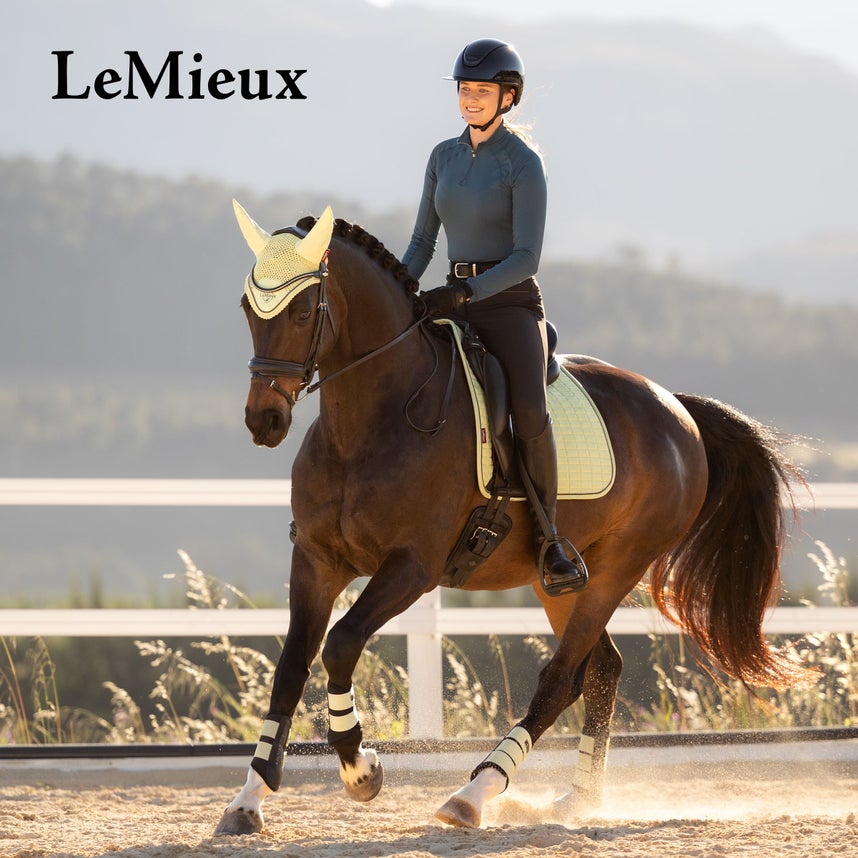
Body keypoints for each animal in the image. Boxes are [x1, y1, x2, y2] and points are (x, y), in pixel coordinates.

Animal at [214, 202, 811, 835]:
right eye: (248, 308)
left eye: (304, 309)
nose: (264, 420)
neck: (369, 422)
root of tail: (679, 409)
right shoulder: (316, 560)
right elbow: (290, 668)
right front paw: (248, 799)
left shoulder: (412, 567)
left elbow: (341, 645)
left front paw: (361, 770)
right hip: (559, 580)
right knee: (601, 669)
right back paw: (577, 800)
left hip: (617, 566)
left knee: (562, 679)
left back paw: (474, 793)